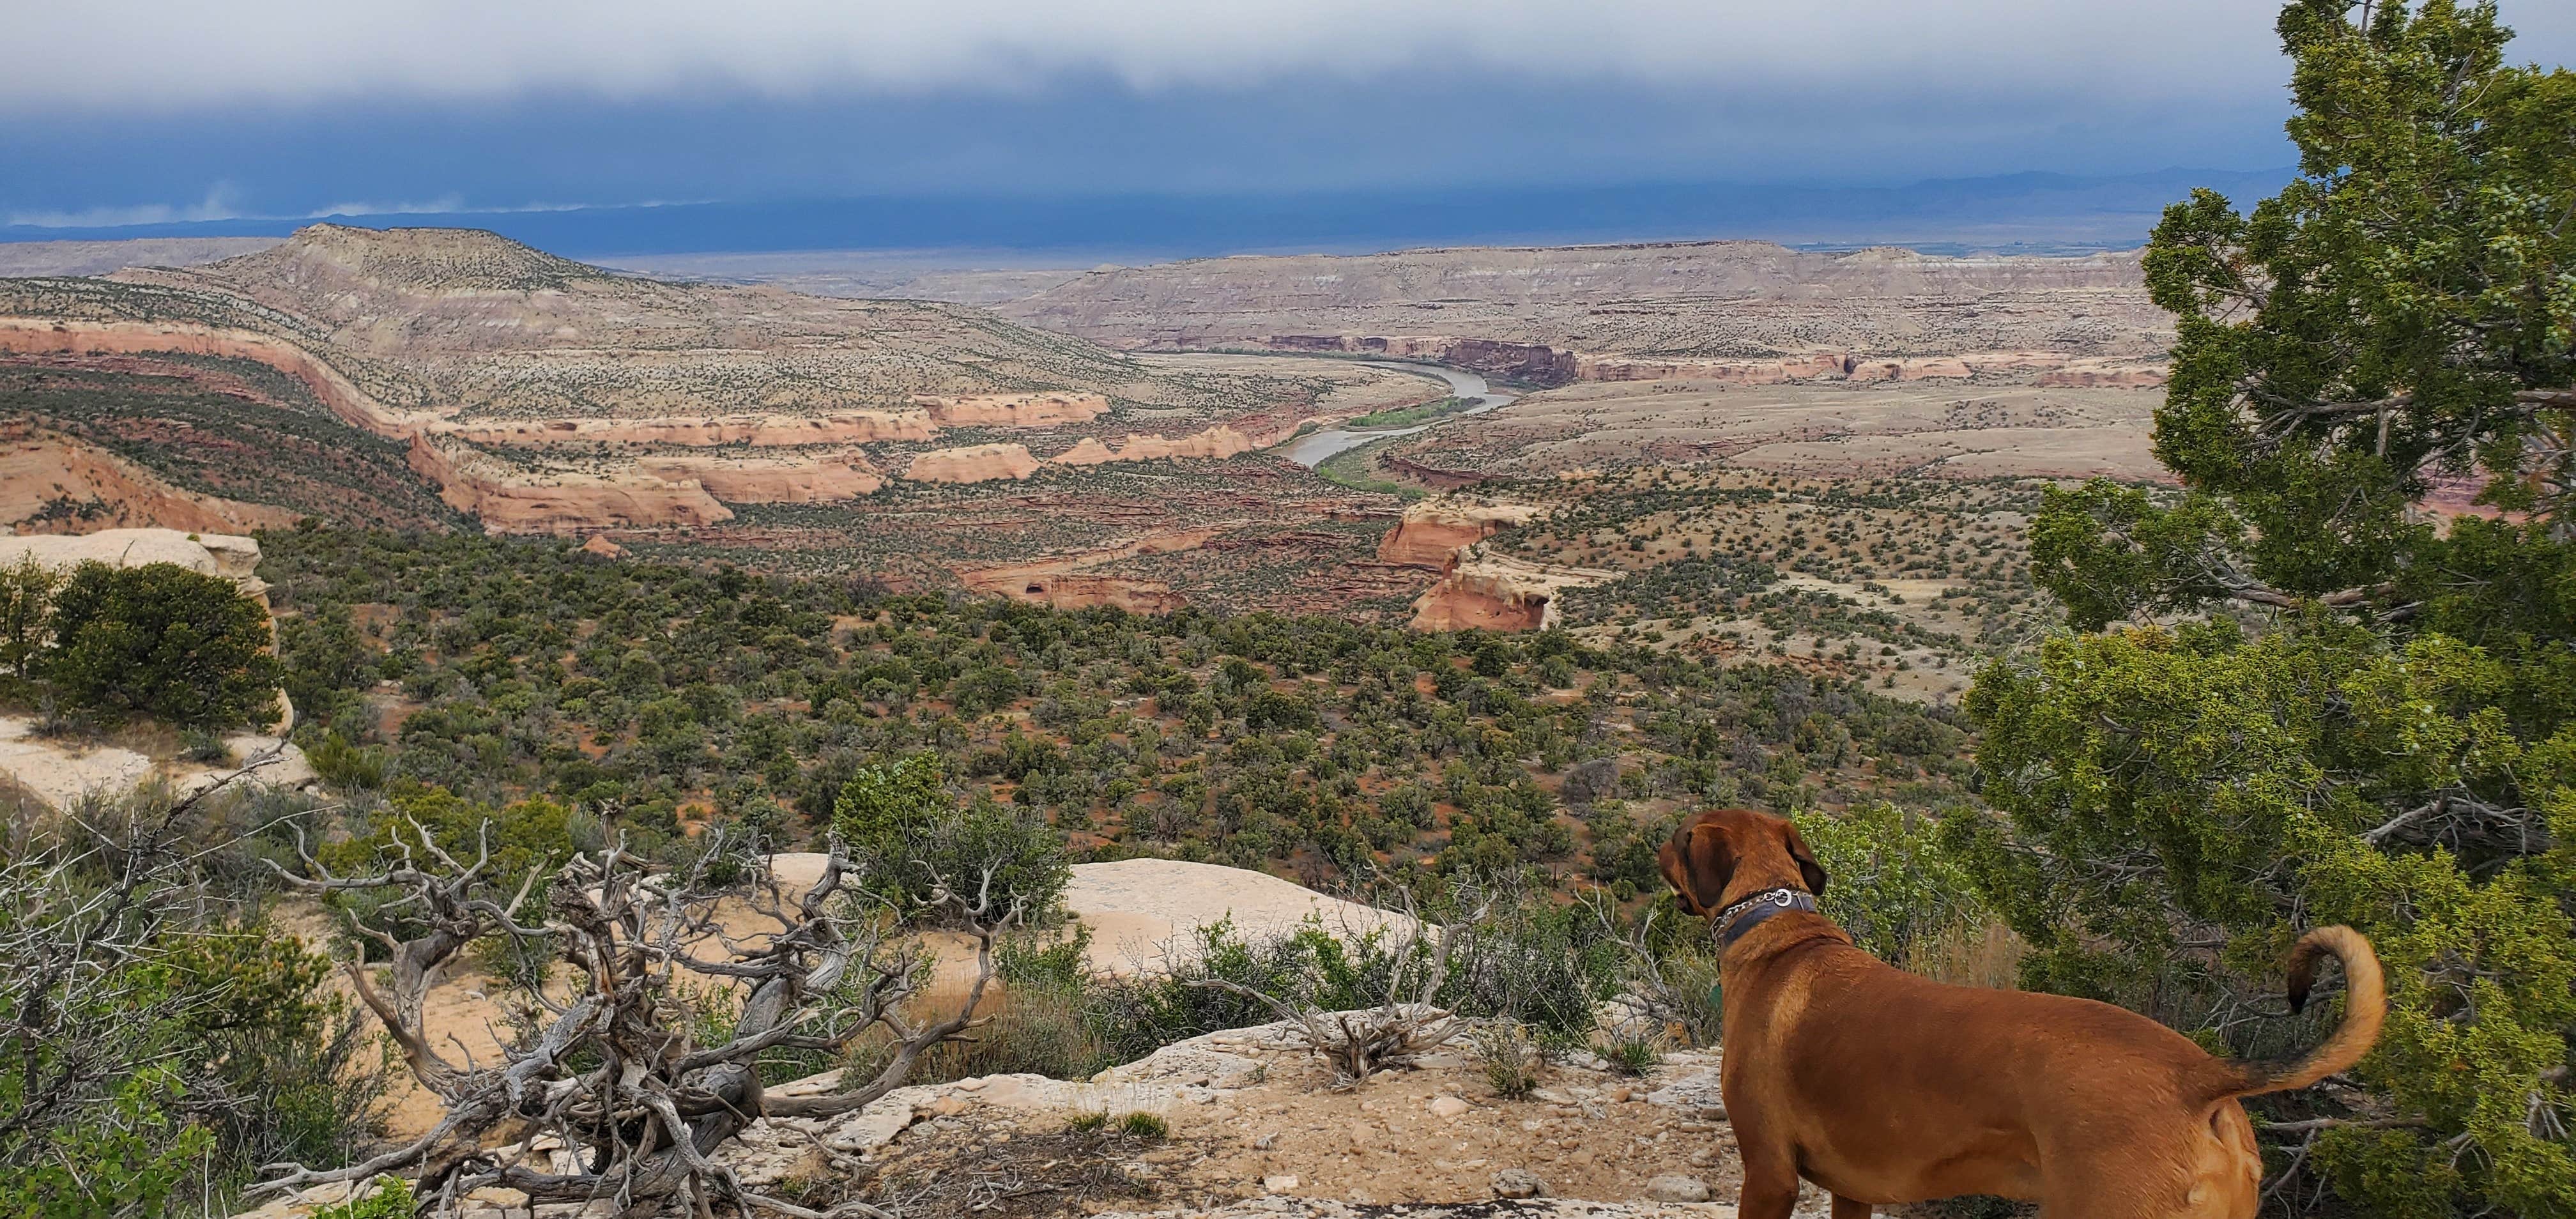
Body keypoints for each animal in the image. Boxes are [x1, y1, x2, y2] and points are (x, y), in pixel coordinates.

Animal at [1659, 809, 2380, 1216]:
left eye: (1673, 842)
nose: (1654, 850)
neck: (1776, 927)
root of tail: (2201, 1077)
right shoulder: (1853, 1191)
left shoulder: (1770, 1176)